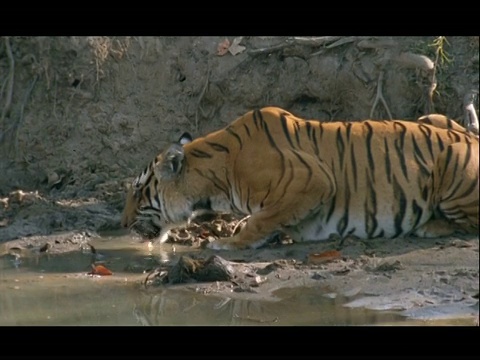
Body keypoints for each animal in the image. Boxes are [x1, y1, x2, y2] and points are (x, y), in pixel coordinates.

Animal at [121, 105, 480, 249]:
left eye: (138, 191)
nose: (122, 224)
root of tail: (471, 137)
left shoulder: (314, 180)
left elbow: (261, 219)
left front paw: (229, 242)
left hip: (452, 159)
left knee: (469, 223)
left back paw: (430, 226)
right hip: (433, 116)